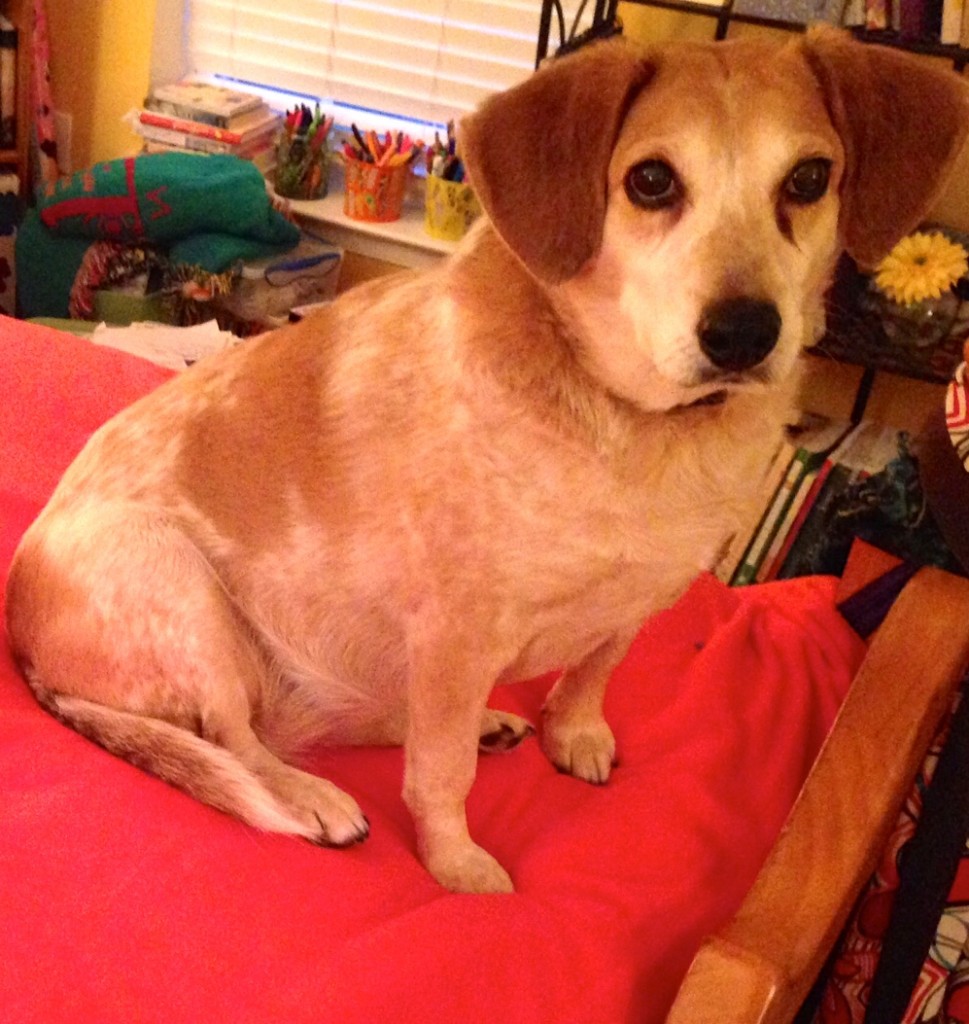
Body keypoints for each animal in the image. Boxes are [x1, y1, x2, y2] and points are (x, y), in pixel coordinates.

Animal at [7, 28, 966, 892]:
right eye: (650, 180)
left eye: (808, 179)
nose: (742, 333)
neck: (635, 426)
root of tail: (28, 654)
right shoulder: (457, 632)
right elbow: (440, 780)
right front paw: (458, 866)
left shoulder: (641, 596)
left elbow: (593, 672)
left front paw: (572, 734)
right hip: (171, 579)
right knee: (239, 739)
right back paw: (313, 795)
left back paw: (477, 726)